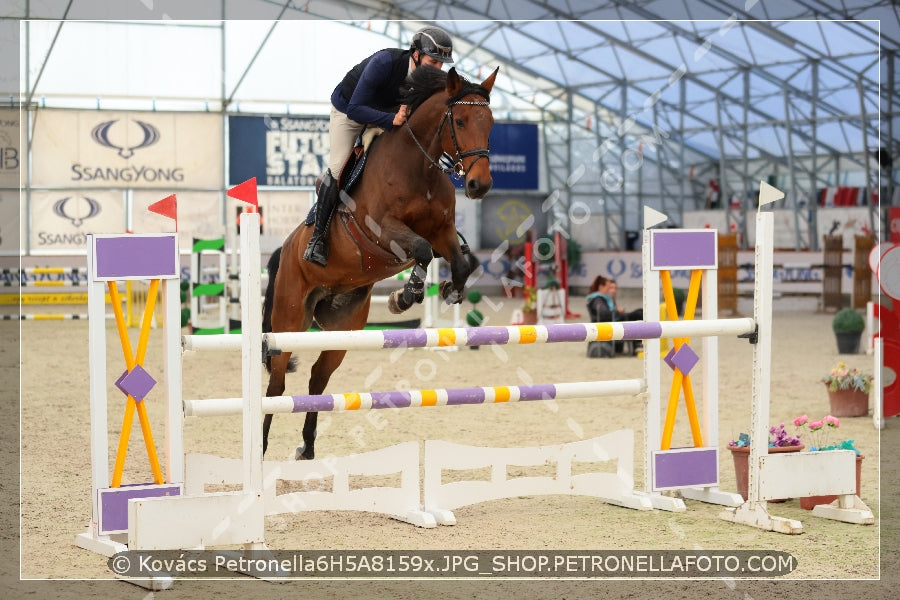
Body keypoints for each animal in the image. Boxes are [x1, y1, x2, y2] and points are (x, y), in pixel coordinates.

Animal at [260, 65, 500, 458]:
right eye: (460, 121)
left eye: (491, 122)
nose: (480, 185)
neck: (418, 165)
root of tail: (287, 248)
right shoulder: (382, 232)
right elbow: (420, 250)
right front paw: (404, 296)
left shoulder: (443, 231)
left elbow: (458, 262)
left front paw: (445, 289)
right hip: (289, 317)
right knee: (277, 383)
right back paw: (262, 446)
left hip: (344, 328)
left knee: (317, 377)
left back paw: (307, 447)